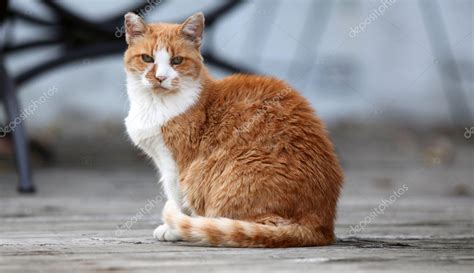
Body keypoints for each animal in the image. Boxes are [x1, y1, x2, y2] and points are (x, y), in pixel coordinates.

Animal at [122, 12, 344, 246]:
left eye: (177, 61)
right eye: (147, 58)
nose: (161, 77)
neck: (154, 104)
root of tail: (321, 226)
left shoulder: (176, 165)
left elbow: (177, 198)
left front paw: (173, 229)